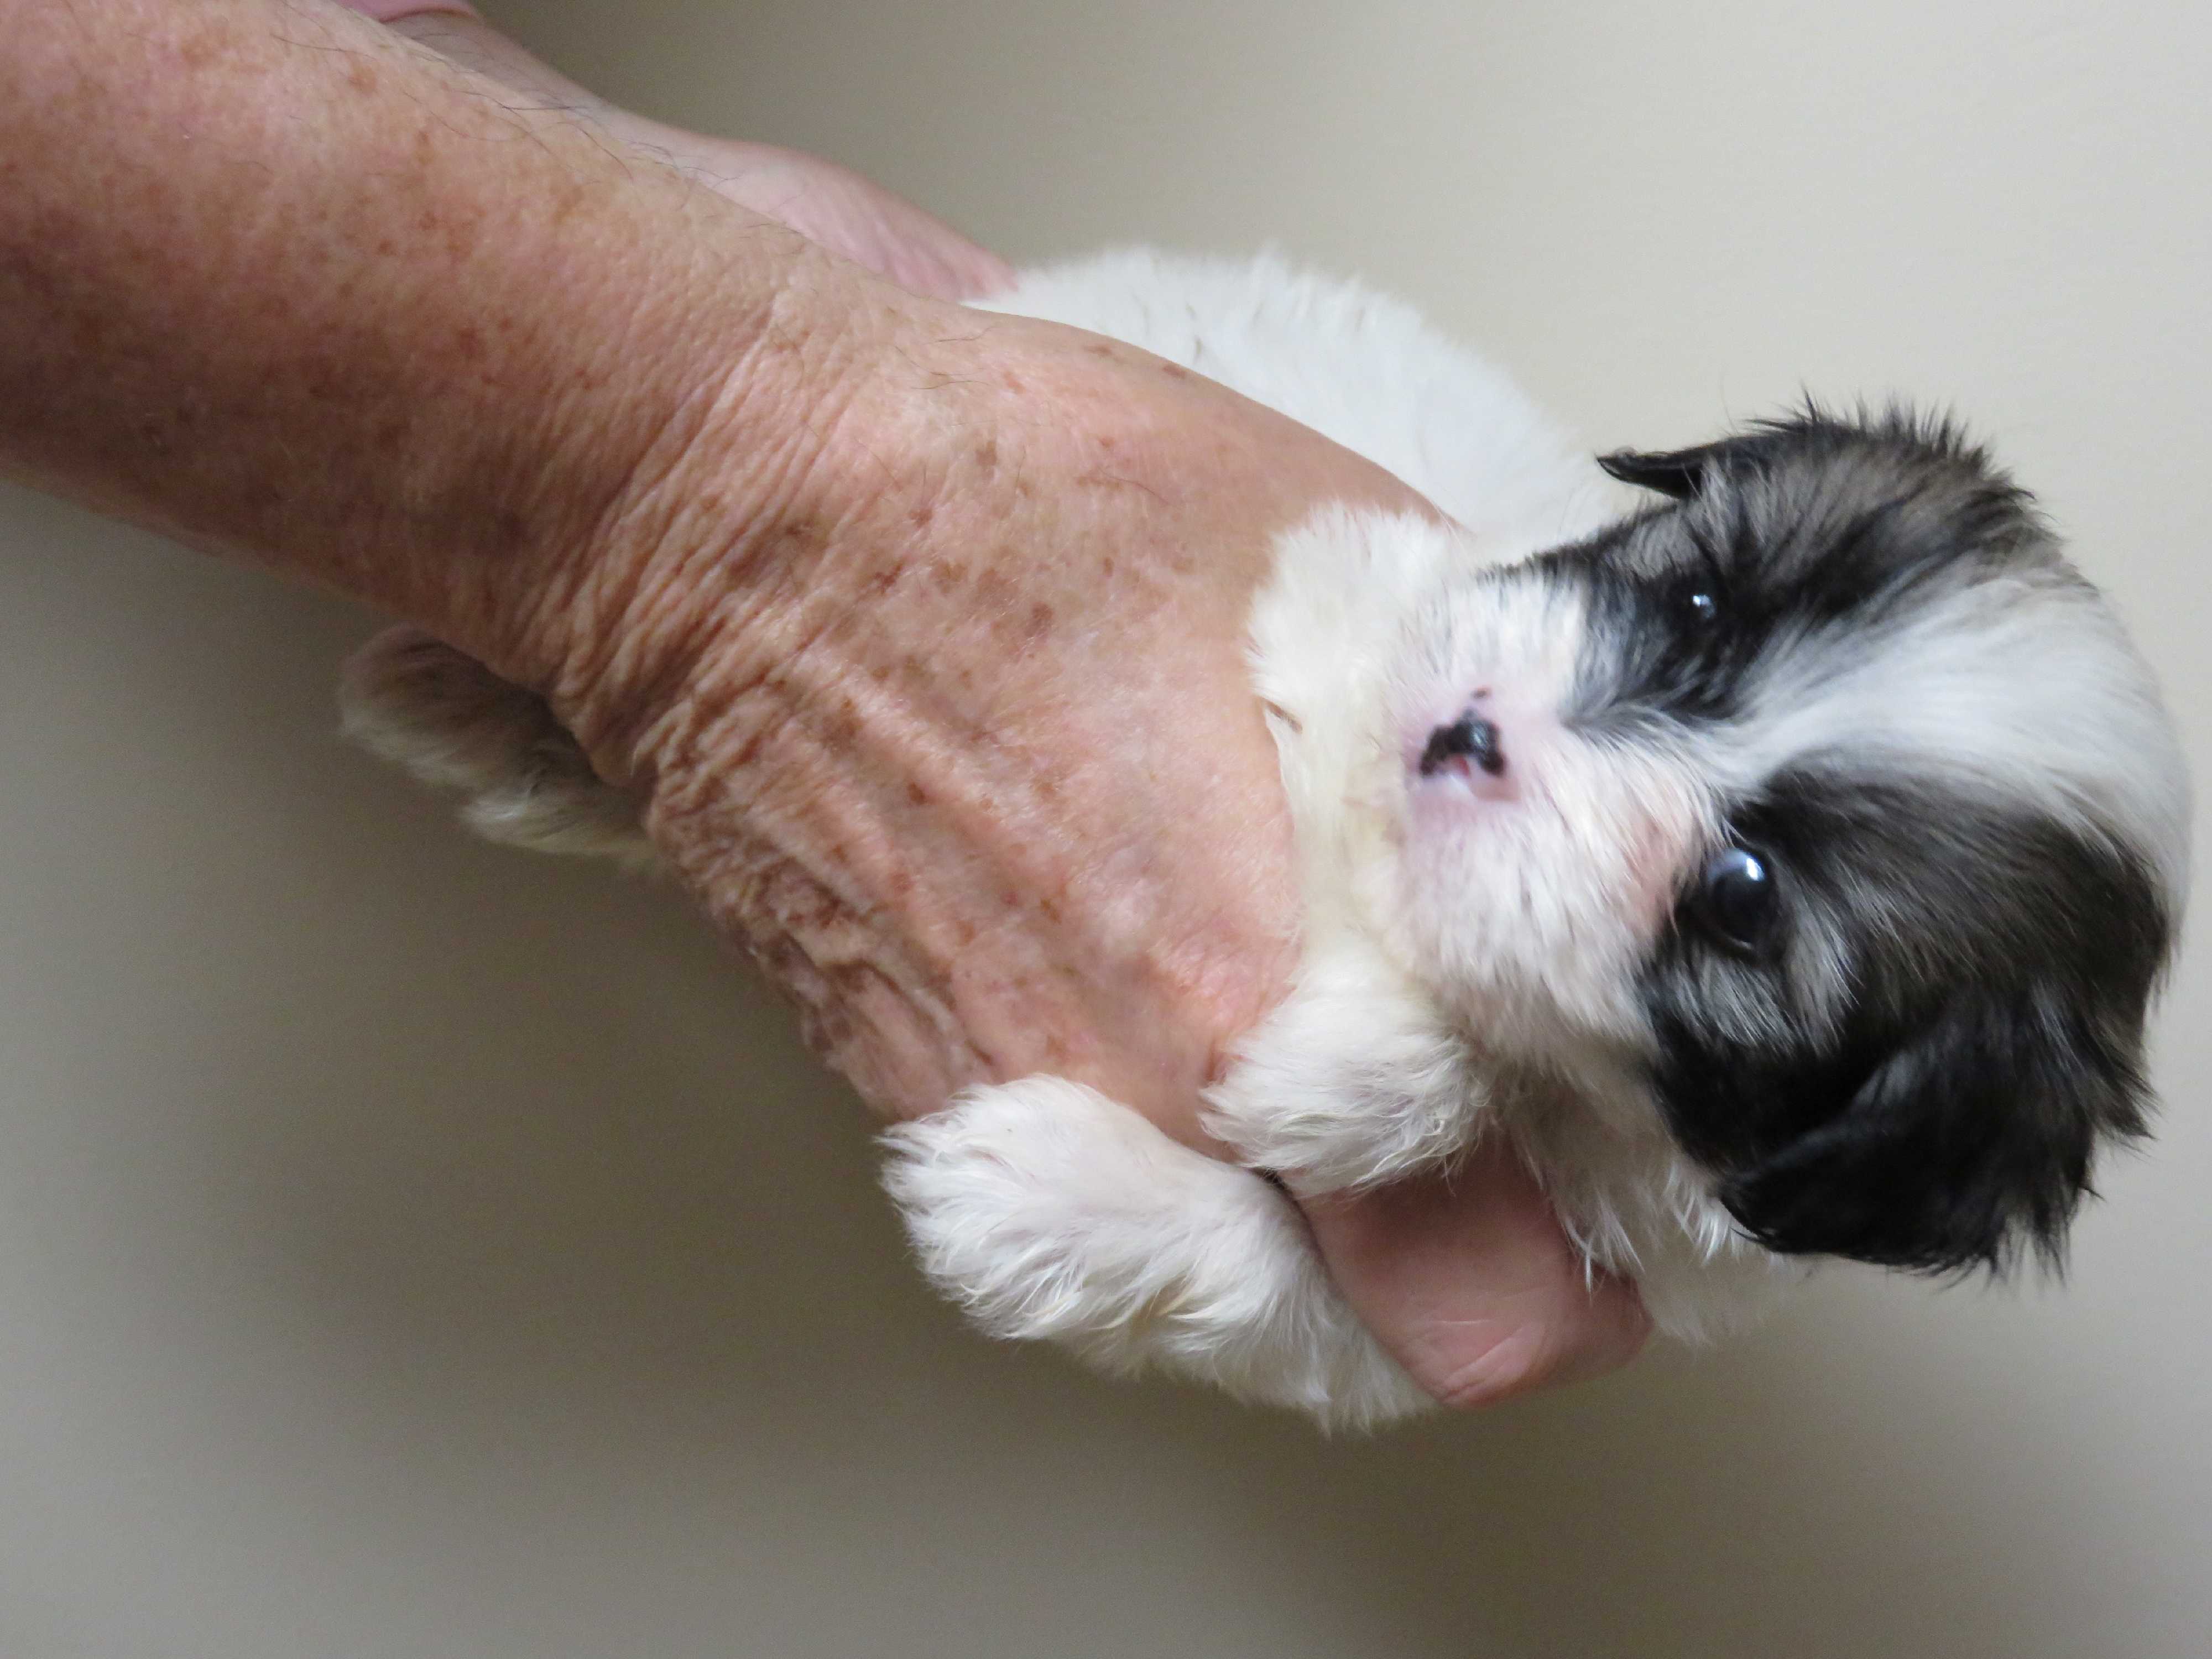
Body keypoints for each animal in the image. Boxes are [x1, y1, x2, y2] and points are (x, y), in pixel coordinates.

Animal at [345, 247, 2194, 1433]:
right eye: (1690, 602)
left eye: (1740, 905)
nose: (1477, 737)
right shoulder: (1356, 586)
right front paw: (1376, 1056)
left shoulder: (1465, 1324)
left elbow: (1273, 1278)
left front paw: (1041, 1201)